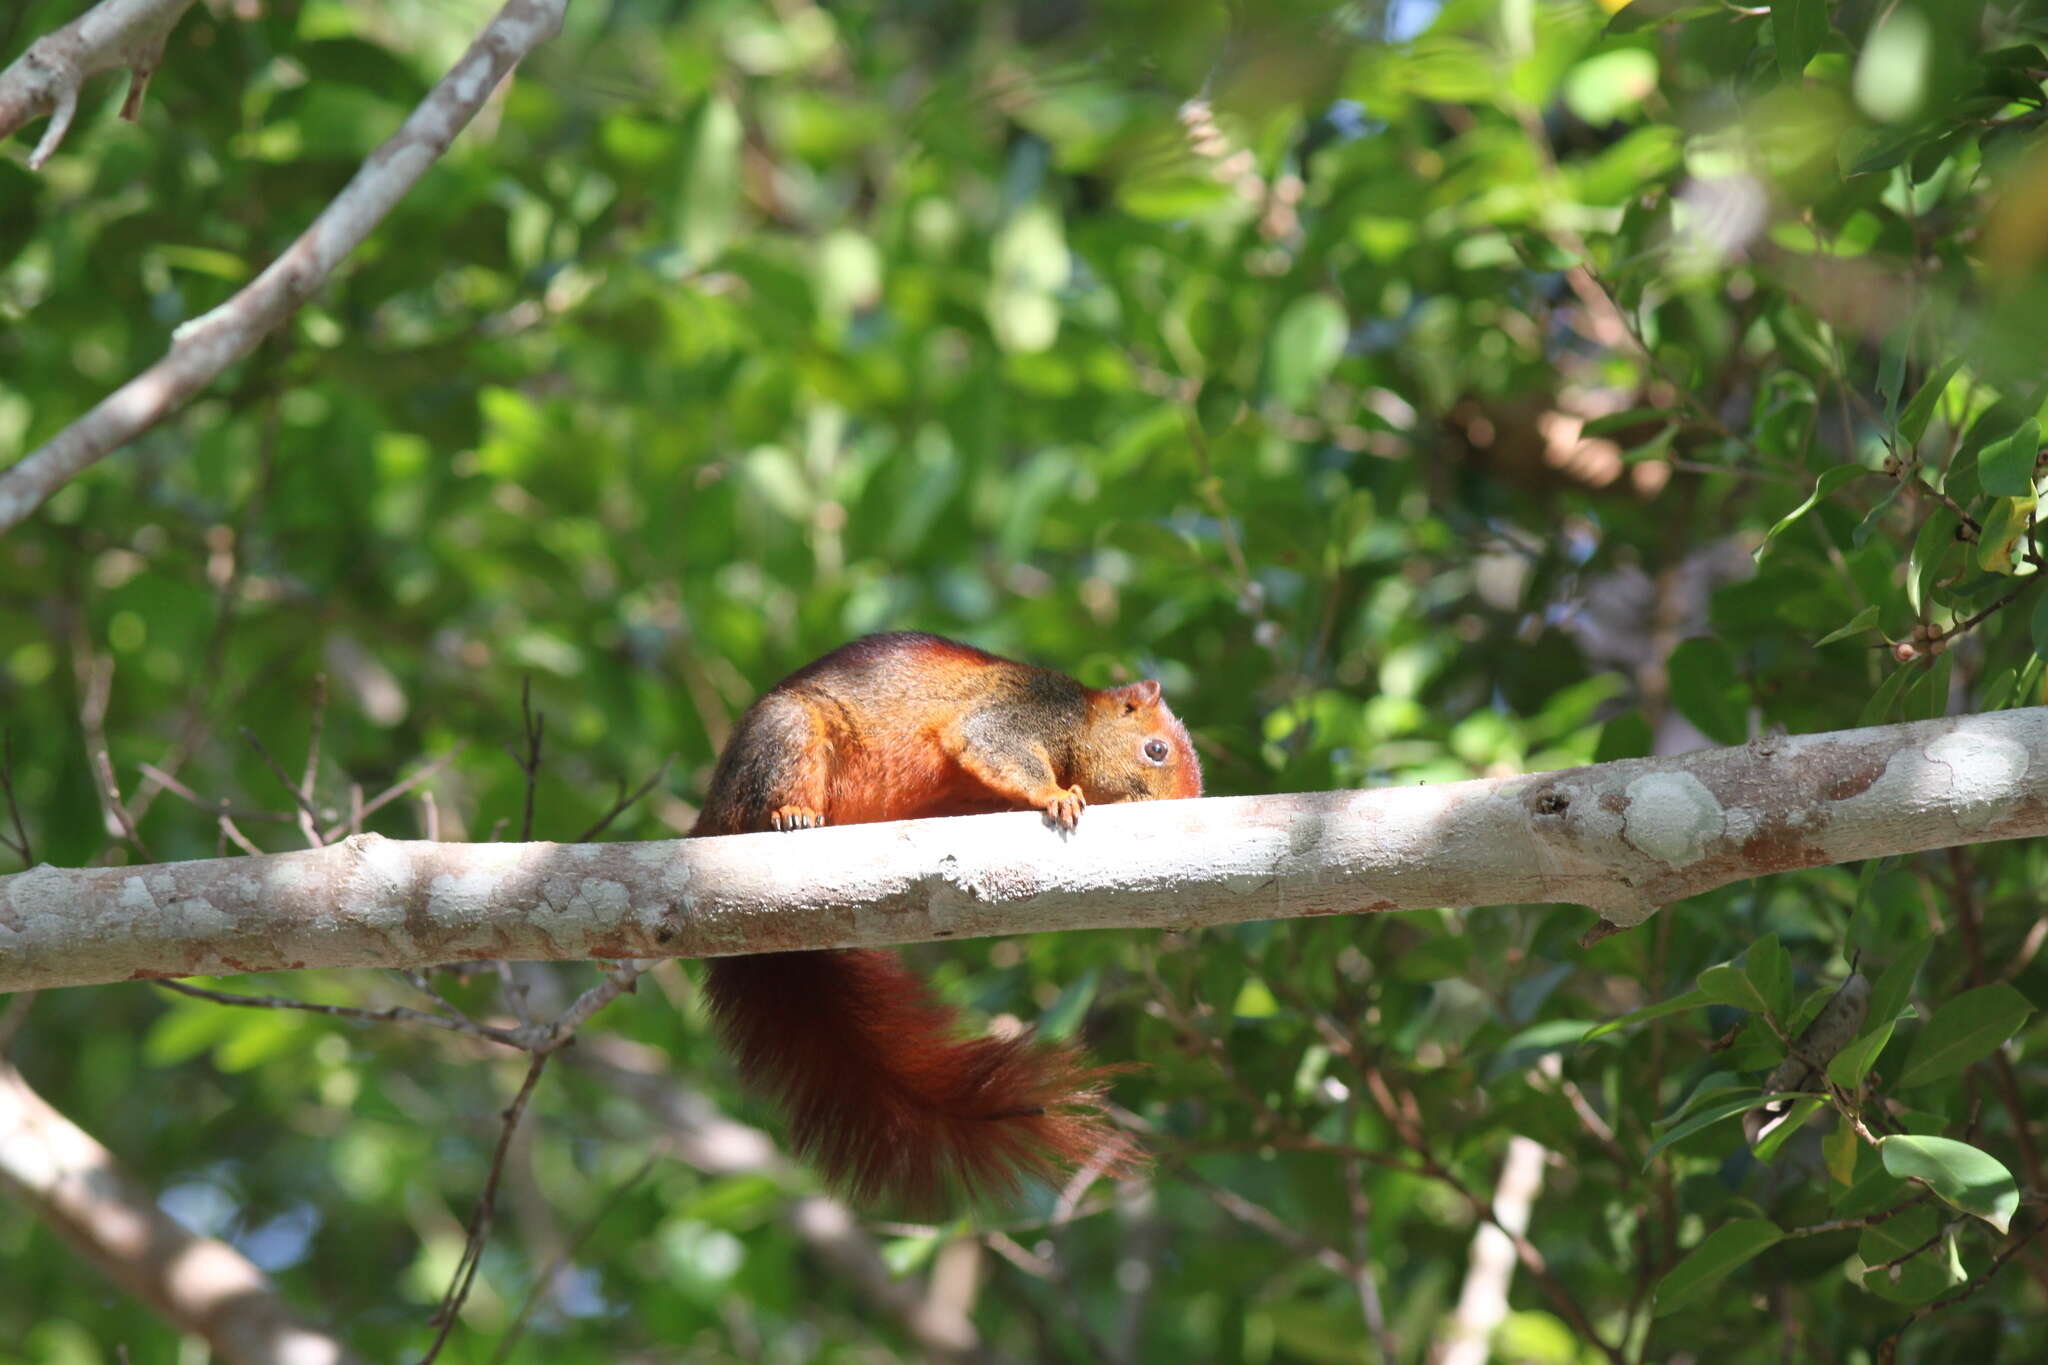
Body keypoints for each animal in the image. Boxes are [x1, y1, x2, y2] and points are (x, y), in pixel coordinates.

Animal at [692, 634, 1196, 1211]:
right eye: (1155, 750)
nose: (1185, 808)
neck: (1082, 722)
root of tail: (706, 821)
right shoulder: (1020, 715)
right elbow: (994, 747)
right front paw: (1057, 795)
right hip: (784, 737)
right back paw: (791, 814)